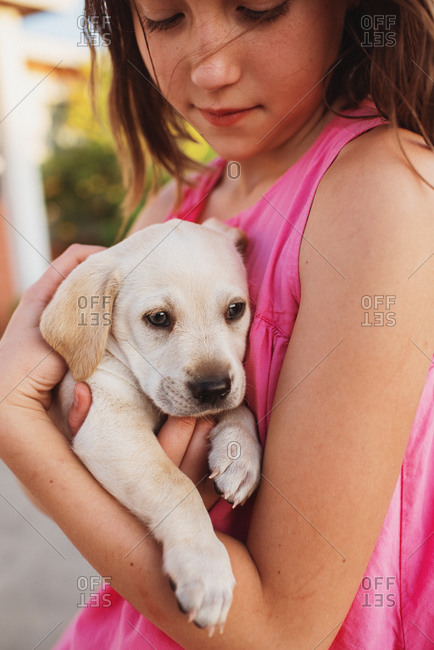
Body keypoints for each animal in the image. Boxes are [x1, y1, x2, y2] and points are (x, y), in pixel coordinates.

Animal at [39, 219, 262, 632]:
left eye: (235, 310)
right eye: (158, 318)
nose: (213, 388)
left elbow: (241, 406)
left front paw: (240, 456)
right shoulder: (110, 424)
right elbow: (175, 484)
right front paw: (205, 568)